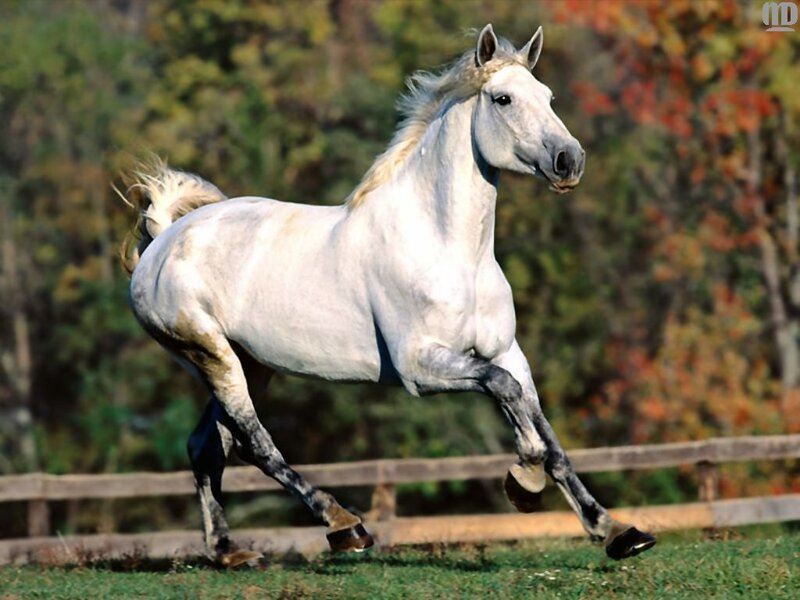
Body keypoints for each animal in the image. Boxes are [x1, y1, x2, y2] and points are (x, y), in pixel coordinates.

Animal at [121, 25, 656, 565]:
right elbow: (506, 394)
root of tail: (164, 240)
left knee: (206, 446)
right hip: (212, 355)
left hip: (251, 364)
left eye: (548, 97)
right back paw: (344, 525)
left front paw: (616, 531)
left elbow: (546, 431)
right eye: (503, 99)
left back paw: (229, 552)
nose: (569, 161)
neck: (449, 248)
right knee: (254, 444)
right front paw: (523, 480)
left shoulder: (507, 351)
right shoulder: (420, 367)